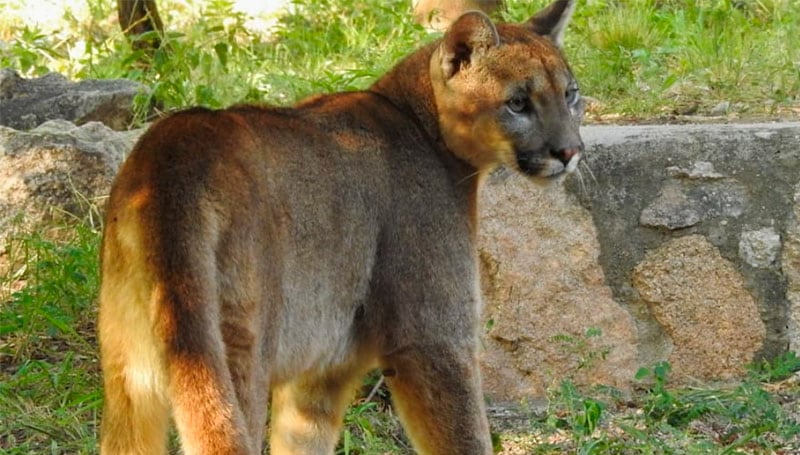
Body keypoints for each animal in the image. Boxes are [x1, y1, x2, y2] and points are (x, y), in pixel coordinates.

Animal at [98, 1, 580, 454]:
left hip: (129, 381)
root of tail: (172, 149)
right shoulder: (433, 338)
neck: (422, 124)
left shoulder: (322, 371)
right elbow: (465, 435)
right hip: (236, 352)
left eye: (571, 95)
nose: (570, 151)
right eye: (518, 103)